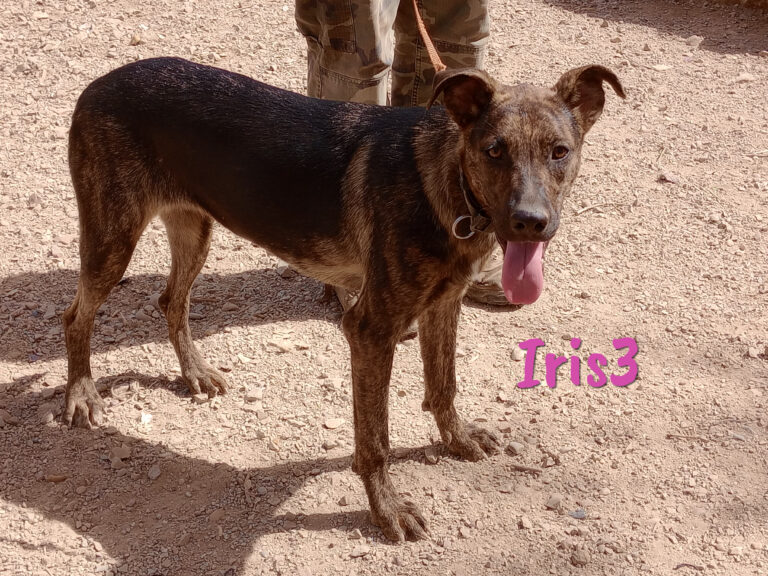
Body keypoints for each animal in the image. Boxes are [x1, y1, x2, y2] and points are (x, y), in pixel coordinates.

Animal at [62, 55, 624, 541]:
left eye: (559, 151)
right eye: (494, 151)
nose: (530, 222)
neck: (443, 184)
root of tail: (100, 82)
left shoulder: (444, 304)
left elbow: (443, 384)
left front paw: (457, 439)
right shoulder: (370, 331)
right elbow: (375, 441)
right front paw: (387, 509)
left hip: (194, 226)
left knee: (170, 301)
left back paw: (194, 371)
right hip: (113, 238)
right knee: (75, 316)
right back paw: (81, 393)